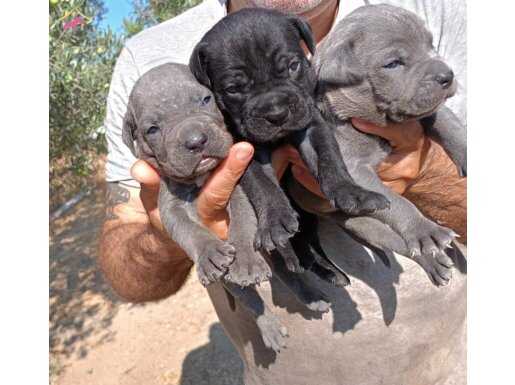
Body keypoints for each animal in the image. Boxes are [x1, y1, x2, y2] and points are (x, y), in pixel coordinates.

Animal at [187, 7, 390, 260]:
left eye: (293, 66)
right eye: (233, 89)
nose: (277, 114)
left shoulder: (311, 125)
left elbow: (329, 158)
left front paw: (352, 192)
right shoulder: (244, 148)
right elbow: (262, 184)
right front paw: (275, 221)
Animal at [294, 3, 468, 284]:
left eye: (430, 44)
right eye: (393, 63)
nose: (447, 75)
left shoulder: (428, 110)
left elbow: (449, 123)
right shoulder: (354, 171)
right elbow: (398, 203)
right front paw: (424, 229)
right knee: (402, 243)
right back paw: (428, 244)